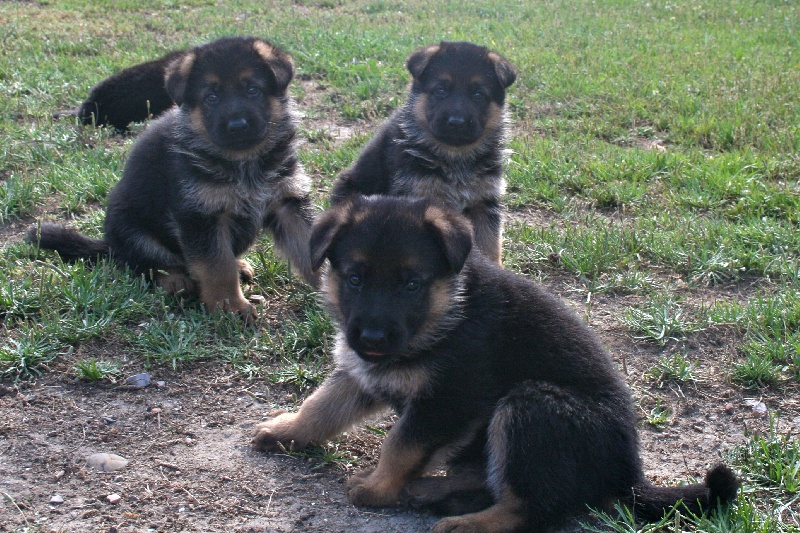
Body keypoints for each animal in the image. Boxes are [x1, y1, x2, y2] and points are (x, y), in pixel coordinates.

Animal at [253, 195, 740, 532]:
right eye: (354, 279)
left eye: (411, 284)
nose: (372, 338)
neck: (446, 314)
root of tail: (628, 475)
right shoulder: (362, 373)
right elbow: (321, 406)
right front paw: (286, 430)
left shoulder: (446, 399)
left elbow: (399, 445)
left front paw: (378, 488)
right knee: (493, 481)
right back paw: (434, 490)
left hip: (533, 408)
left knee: (530, 507)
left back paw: (465, 523)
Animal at [328, 42, 516, 264]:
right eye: (440, 90)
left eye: (478, 95)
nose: (457, 123)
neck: (455, 157)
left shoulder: (484, 203)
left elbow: (490, 248)